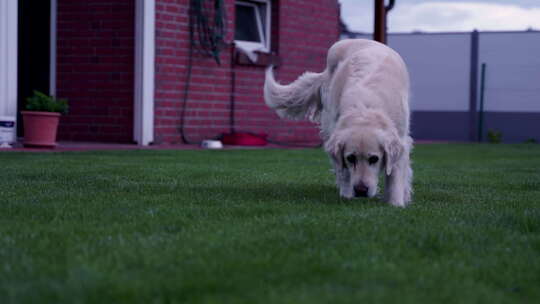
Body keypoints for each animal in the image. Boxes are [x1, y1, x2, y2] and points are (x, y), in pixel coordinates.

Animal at [264, 38, 412, 207]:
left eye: (374, 159)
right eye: (351, 158)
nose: (361, 191)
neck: (365, 109)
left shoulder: (401, 138)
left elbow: (395, 174)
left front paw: (396, 202)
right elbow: (344, 171)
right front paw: (347, 195)